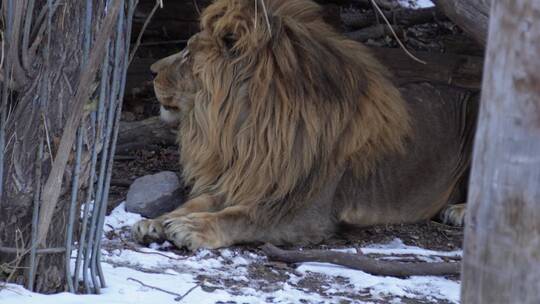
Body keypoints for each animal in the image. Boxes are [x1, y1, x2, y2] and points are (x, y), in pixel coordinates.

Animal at [132, 0, 476, 249]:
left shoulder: (306, 213)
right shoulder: (244, 178)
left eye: (188, 54)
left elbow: (242, 217)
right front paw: (158, 221)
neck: (243, 132)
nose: (150, 70)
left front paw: (191, 227)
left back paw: (459, 212)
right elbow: (198, 201)